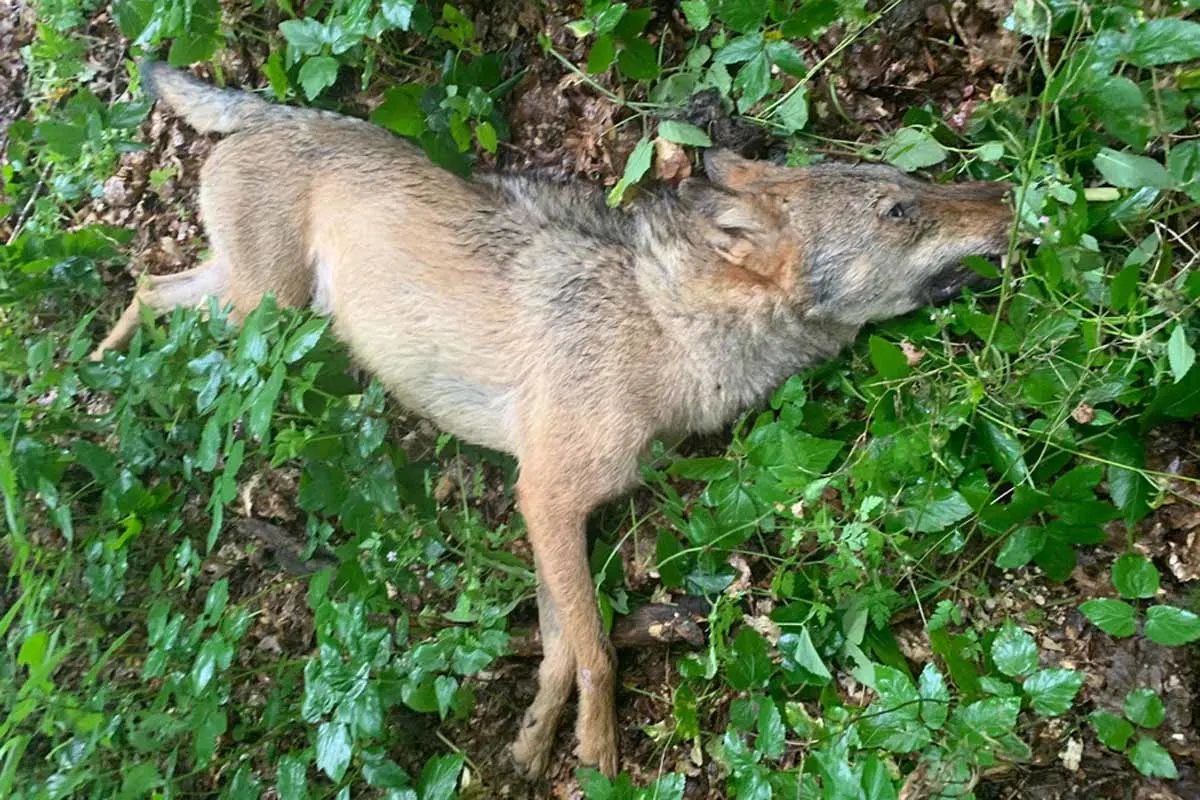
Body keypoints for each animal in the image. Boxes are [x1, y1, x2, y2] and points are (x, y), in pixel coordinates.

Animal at [93, 62, 1013, 778]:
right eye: (899, 210)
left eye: (917, 184)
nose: (1009, 192)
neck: (663, 329)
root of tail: (287, 111)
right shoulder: (548, 496)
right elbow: (598, 649)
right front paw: (598, 752)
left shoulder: (553, 510)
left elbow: (561, 645)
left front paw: (536, 740)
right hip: (265, 318)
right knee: (160, 297)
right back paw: (99, 389)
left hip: (252, 307)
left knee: (149, 285)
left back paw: (97, 378)